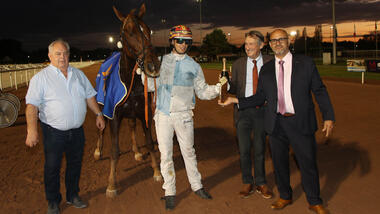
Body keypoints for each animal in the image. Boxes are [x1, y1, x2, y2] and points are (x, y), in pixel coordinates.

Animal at [94, 2, 162, 197]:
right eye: (129, 32)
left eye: (148, 29)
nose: (153, 65)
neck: (129, 81)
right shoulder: (114, 116)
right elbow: (114, 150)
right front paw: (111, 184)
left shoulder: (143, 112)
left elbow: (150, 143)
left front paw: (157, 171)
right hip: (101, 107)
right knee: (100, 127)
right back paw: (97, 151)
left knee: (131, 126)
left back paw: (136, 151)